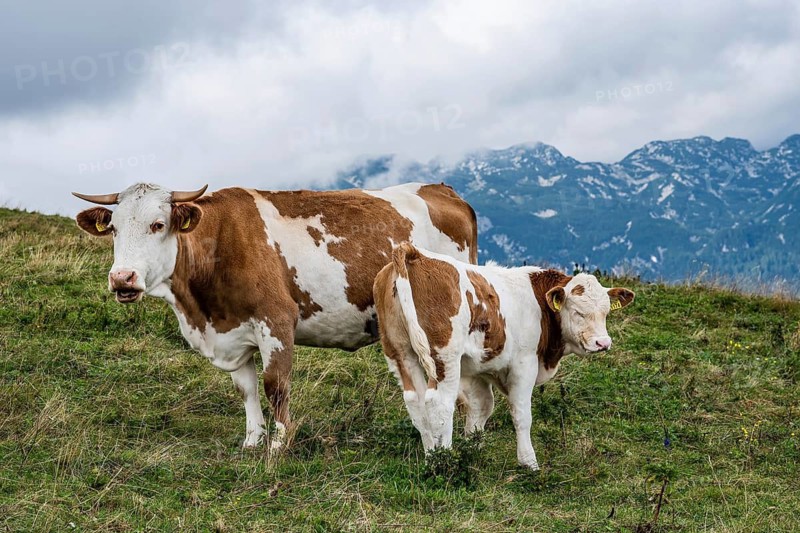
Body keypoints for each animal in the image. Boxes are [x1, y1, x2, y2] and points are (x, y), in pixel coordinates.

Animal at [73, 182, 477, 449]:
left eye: (157, 225)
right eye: (113, 228)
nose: (122, 277)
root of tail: (443, 190)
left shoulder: (277, 320)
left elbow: (275, 386)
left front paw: (278, 446)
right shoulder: (233, 332)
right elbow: (246, 388)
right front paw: (253, 440)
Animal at [373, 243, 635, 470]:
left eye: (606, 312)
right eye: (578, 312)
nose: (603, 343)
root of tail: (414, 252)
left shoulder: (475, 369)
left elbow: (481, 407)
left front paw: (473, 451)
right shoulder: (524, 364)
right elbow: (521, 414)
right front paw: (528, 463)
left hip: (401, 353)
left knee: (416, 403)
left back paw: (430, 459)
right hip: (444, 357)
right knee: (439, 404)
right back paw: (444, 463)